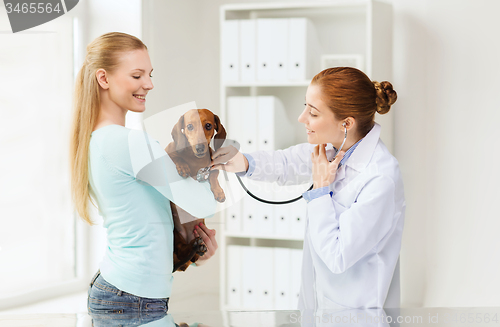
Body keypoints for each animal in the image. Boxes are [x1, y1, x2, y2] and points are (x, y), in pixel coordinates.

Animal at [165, 109, 226, 272]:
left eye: (208, 125)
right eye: (190, 126)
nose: (200, 148)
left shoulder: (212, 167)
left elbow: (214, 174)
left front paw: (219, 192)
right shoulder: (168, 152)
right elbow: (176, 157)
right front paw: (183, 166)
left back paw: (197, 248)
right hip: (174, 232)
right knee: (181, 249)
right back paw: (193, 247)